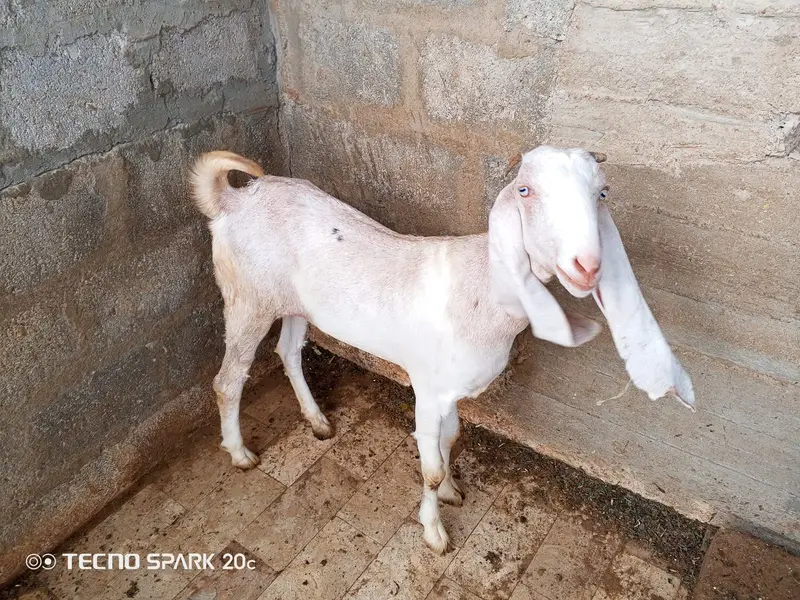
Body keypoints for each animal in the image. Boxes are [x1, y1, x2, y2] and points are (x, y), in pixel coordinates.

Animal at [189, 146, 695, 553]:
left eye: (602, 193)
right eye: (526, 191)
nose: (587, 266)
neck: (484, 289)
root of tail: (232, 199)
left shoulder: (452, 390)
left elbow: (451, 440)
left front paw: (452, 490)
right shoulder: (428, 390)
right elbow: (428, 468)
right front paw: (435, 531)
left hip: (294, 303)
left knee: (290, 352)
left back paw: (317, 421)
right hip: (247, 298)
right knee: (228, 379)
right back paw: (240, 453)